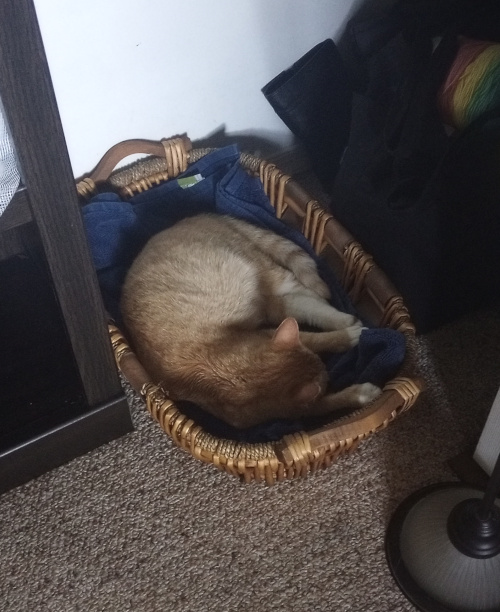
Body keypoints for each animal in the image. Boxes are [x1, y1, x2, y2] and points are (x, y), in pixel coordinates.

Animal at [122, 213, 382, 428]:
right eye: (326, 380)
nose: (328, 375)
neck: (233, 377)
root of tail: (191, 218)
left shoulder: (266, 334)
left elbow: (317, 340)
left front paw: (349, 338)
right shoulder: (289, 409)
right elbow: (324, 404)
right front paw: (359, 392)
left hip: (262, 270)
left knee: (311, 293)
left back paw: (345, 317)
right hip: (272, 300)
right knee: (302, 302)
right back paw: (346, 321)